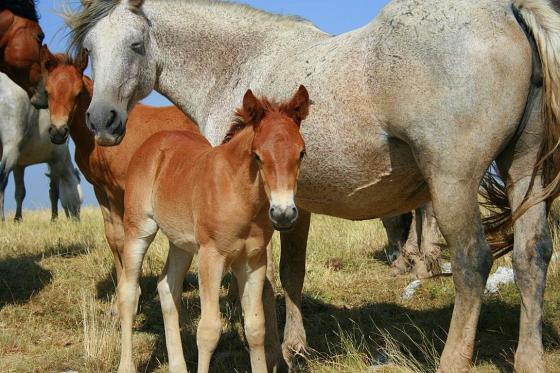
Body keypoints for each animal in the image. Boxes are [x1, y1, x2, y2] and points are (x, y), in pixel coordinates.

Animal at [0, 72, 82, 221]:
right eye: (79, 200)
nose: (77, 220)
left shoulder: (19, 166)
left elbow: (20, 193)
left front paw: (18, 219)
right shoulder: (57, 161)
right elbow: (54, 191)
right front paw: (54, 218)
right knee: (2, 180)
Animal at [38, 45, 199, 296]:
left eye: (77, 93)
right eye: (47, 91)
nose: (58, 132)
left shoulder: (117, 190)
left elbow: (123, 238)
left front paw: (129, 292)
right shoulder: (100, 189)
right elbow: (112, 237)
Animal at [119, 85, 310, 370]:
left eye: (301, 153)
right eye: (257, 155)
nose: (284, 214)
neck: (239, 194)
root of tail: (153, 143)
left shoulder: (253, 260)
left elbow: (256, 327)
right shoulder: (212, 256)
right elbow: (208, 331)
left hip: (181, 243)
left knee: (167, 287)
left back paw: (178, 368)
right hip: (138, 229)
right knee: (129, 293)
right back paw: (126, 366)